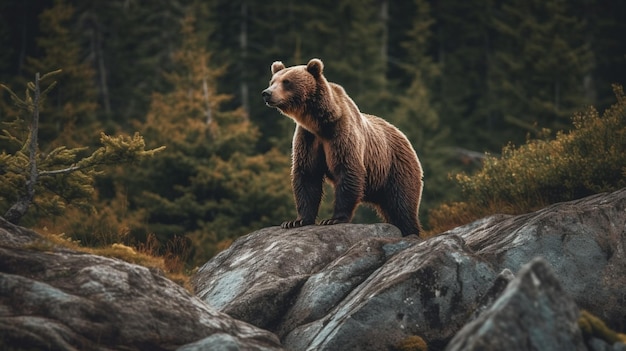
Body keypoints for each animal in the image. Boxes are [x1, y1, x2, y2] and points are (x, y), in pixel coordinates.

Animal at [260, 59, 422, 238]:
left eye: (286, 82)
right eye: (272, 81)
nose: (266, 93)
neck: (320, 123)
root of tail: (402, 135)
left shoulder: (340, 134)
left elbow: (347, 170)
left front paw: (333, 219)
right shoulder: (308, 139)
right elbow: (307, 175)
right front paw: (296, 221)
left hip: (395, 168)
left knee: (401, 206)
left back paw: (410, 231)